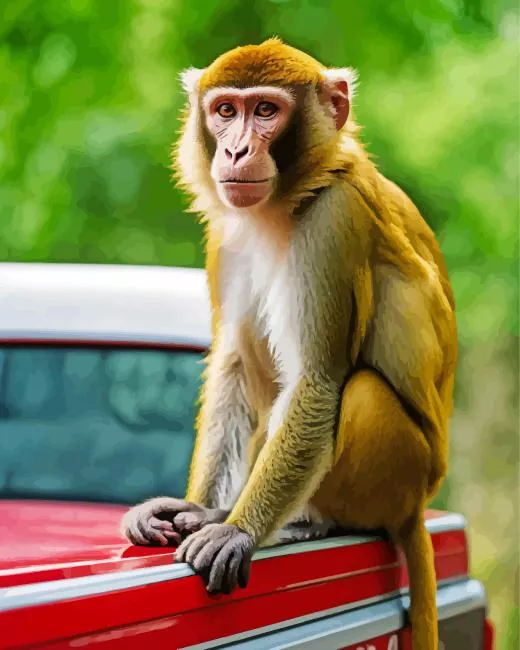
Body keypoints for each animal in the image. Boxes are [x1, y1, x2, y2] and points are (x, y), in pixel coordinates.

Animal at [121, 38, 458, 650]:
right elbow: (231, 360)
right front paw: (199, 506)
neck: (285, 203)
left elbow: (317, 382)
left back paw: (305, 522)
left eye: (265, 111)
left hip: (400, 476)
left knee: (362, 392)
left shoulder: (334, 221)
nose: (235, 151)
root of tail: (419, 504)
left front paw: (237, 531)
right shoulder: (226, 232)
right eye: (224, 111)